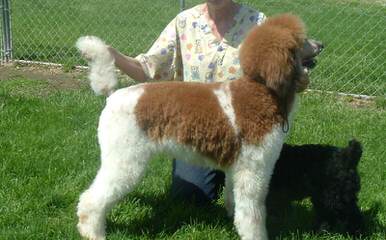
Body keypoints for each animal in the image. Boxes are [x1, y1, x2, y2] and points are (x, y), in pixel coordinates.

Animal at [76, 14, 310, 240]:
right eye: (301, 41)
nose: (317, 44)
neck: (261, 92)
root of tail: (113, 95)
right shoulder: (253, 170)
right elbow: (252, 215)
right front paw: (255, 235)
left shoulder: (237, 168)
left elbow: (235, 202)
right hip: (124, 160)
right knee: (91, 199)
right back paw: (93, 233)